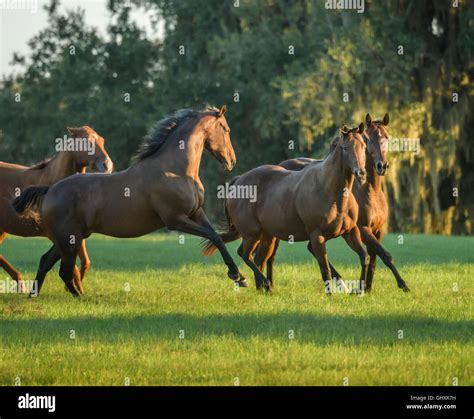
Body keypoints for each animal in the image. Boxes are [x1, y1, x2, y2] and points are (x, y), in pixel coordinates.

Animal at [0, 126, 113, 294]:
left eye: (102, 140)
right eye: (86, 141)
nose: (107, 165)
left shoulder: (77, 233)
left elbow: (85, 262)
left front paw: (77, 290)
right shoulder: (56, 235)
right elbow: (72, 268)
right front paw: (76, 290)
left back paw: (20, 282)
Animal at [12, 106, 246, 298]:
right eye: (226, 129)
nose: (232, 160)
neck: (175, 171)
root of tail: (50, 189)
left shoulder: (196, 213)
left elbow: (216, 236)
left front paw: (239, 276)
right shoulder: (176, 220)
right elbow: (213, 236)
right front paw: (237, 276)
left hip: (68, 239)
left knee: (46, 262)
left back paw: (34, 297)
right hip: (70, 240)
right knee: (65, 271)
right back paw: (79, 299)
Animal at [202, 123, 368, 294]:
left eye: (363, 145)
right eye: (345, 148)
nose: (361, 173)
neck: (332, 193)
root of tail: (238, 181)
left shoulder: (350, 231)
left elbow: (364, 257)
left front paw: (359, 290)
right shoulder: (317, 236)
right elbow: (325, 270)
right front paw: (332, 295)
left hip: (266, 236)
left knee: (259, 259)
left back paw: (264, 289)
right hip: (251, 234)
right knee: (245, 254)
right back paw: (259, 283)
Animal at [250, 113, 410, 294]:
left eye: (387, 138)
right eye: (367, 139)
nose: (381, 165)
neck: (370, 191)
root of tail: (281, 165)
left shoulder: (378, 230)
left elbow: (376, 257)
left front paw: (367, 288)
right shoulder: (363, 229)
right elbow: (385, 255)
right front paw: (401, 285)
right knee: (269, 256)